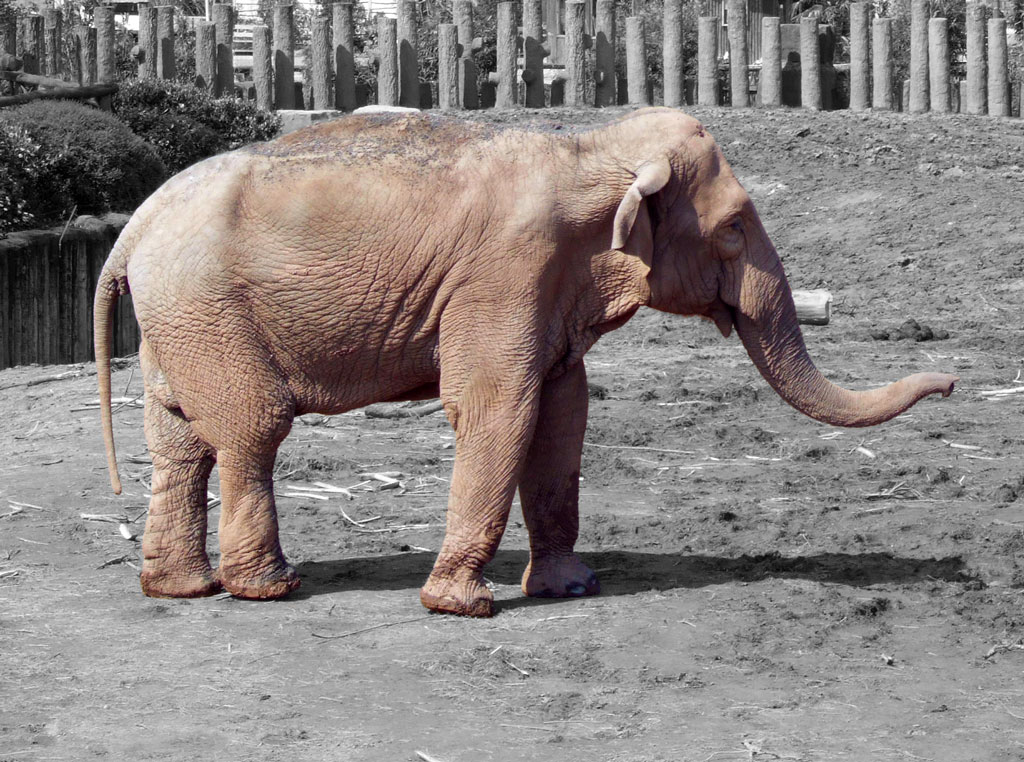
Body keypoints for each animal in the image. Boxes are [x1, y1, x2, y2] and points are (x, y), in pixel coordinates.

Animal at [94, 108, 957, 617]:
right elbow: (499, 407)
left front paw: (574, 586)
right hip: (209, 308)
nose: (948, 381)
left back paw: (179, 586)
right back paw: (269, 589)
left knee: (178, 441)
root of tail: (131, 229)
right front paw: (463, 606)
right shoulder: (506, 271)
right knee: (252, 432)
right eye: (737, 227)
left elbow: (565, 411)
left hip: (179, 321)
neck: (593, 147)